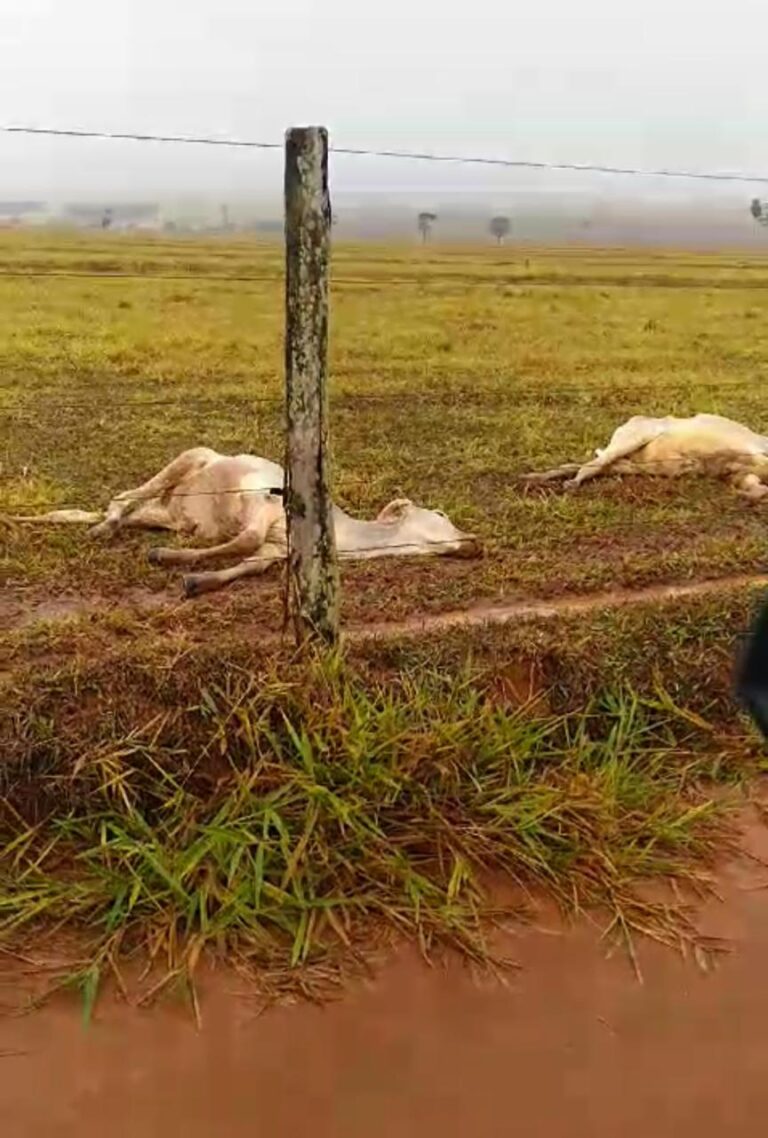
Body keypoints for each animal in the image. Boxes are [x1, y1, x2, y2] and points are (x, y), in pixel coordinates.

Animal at [13, 448, 480, 600]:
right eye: (441, 515)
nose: (477, 542)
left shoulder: (276, 550)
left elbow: (248, 562)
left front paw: (197, 580)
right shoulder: (263, 508)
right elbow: (242, 542)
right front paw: (167, 559)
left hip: (163, 513)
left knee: (122, 510)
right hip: (191, 455)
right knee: (121, 498)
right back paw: (103, 529)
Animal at [525, 409, 768, 498]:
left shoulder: (742, 470)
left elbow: (753, 486)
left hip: (630, 463)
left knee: (586, 465)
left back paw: (533, 477)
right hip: (633, 438)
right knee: (591, 465)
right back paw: (566, 484)